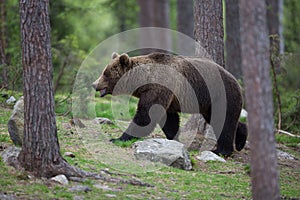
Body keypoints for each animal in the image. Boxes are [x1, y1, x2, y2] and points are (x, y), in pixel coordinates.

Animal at [92, 52, 247, 156]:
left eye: (106, 73)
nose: (94, 84)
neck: (144, 80)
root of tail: (236, 80)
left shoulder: (159, 87)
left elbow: (145, 116)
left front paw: (118, 138)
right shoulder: (166, 96)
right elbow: (168, 119)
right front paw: (175, 139)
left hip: (222, 95)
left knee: (224, 120)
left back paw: (221, 150)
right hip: (209, 104)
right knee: (220, 119)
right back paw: (240, 140)